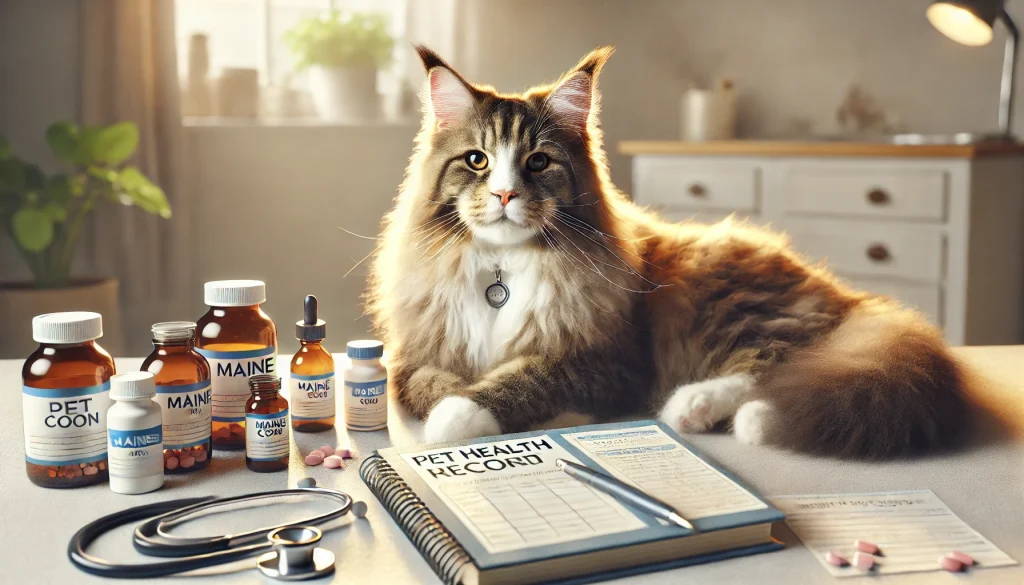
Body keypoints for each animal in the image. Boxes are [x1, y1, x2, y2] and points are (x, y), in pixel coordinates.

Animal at [364, 44, 970, 456]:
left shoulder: (608, 363)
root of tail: (848, 296)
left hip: (718, 300)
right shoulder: (414, 354)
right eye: (477, 161)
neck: (504, 269)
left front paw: (461, 415)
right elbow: (425, 384)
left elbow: (522, 377)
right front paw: (449, 400)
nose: (506, 194)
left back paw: (726, 414)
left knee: (780, 365)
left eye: (537, 162)